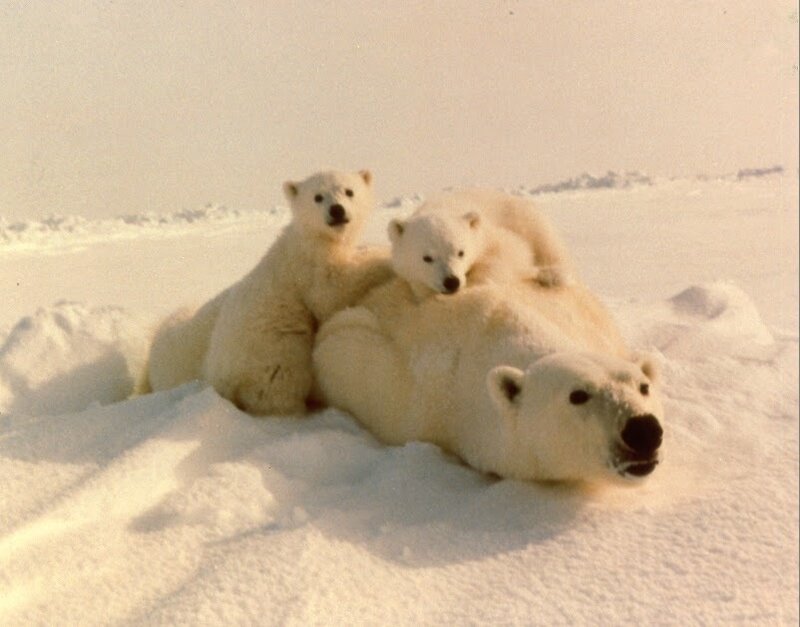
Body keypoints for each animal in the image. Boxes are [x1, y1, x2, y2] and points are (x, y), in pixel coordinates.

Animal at [144, 169, 394, 416]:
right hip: (273, 351)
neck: (314, 237)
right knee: (280, 385)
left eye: (349, 191)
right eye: (318, 197)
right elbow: (331, 292)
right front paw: (385, 257)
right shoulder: (306, 264)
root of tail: (218, 376)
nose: (337, 210)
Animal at [388, 189, 574, 300]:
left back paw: (552, 275)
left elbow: (514, 250)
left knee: (546, 243)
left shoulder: (488, 234)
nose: (451, 282)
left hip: (525, 217)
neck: (441, 208)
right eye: (427, 258)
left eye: (461, 252)